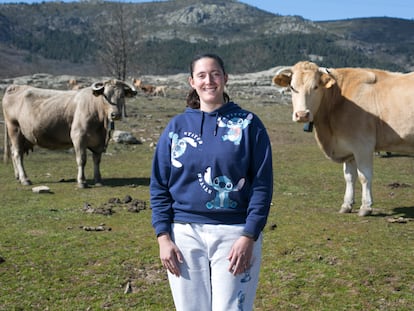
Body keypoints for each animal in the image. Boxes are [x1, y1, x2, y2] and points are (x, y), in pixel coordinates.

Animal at [2, 79, 137, 189]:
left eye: (122, 96)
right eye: (105, 96)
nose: (115, 115)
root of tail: (15, 87)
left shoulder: (99, 142)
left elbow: (97, 160)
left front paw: (98, 180)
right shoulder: (79, 137)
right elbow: (82, 159)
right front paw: (82, 182)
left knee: (14, 153)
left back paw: (18, 177)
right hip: (14, 129)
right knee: (17, 154)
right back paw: (25, 179)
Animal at [272, 61, 414, 217]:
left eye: (315, 87)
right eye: (292, 87)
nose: (302, 115)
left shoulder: (363, 145)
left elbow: (364, 176)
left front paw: (366, 207)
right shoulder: (348, 147)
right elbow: (349, 177)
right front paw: (347, 205)